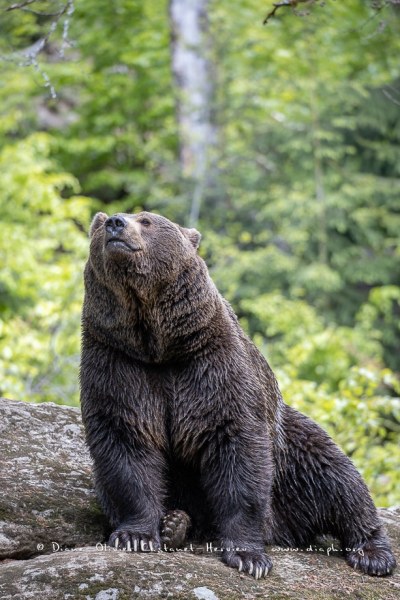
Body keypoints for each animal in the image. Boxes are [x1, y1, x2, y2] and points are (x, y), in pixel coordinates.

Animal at [79, 210, 396, 576]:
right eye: (101, 223)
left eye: (146, 220)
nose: (115, 222)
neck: (158, 343)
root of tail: (283, 530)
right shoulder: (119, 364)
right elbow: (126, 441)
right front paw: (136, 535)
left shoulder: (213, 366)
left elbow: (237, 447)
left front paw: (248, 556)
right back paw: (176, 524)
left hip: (290, 455)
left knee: (335, 475)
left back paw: (372, 552)